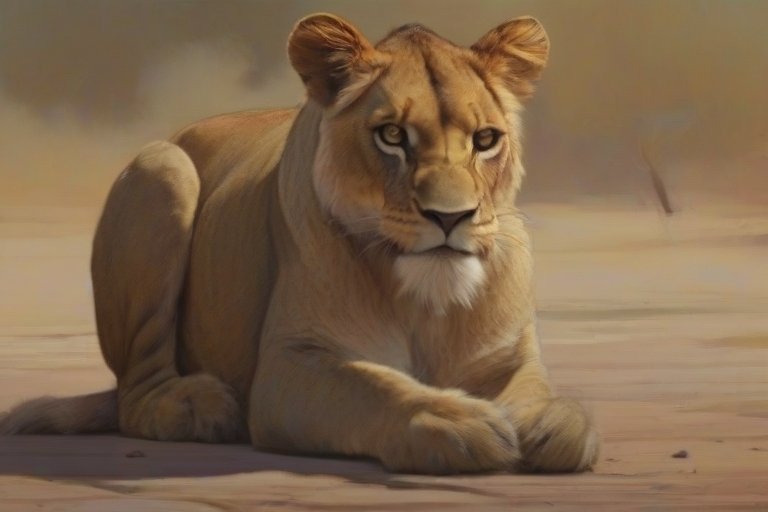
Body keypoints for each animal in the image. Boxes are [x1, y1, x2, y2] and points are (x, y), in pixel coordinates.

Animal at [0, 13, 599, 474]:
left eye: (485, 140)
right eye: (392, 135)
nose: (450, 217)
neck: (426, 301)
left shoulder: (508, 358)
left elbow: (553, 407)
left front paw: (551, 423)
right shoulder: (290, 365)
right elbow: (374, 387)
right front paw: (454, 420)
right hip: (162, 170)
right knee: (135, 394)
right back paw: (201, 406)